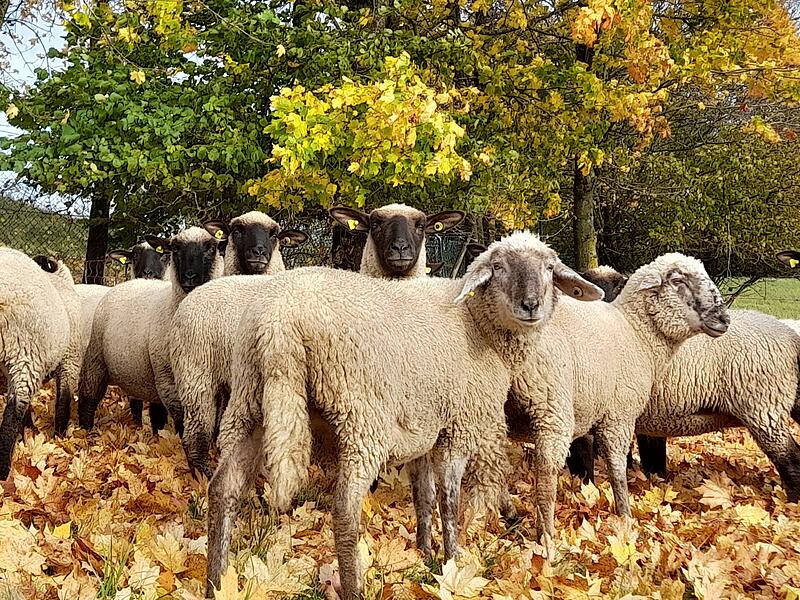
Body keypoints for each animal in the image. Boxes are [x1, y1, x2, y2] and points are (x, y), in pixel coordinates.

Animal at [0, 250, 83, 479]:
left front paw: (27, 434)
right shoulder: (70, 360)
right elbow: (63, 400)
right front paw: (60, 437)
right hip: (25, 349)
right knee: (12, 412)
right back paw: (2, 471)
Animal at [78, 227, 225, 435]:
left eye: (211, 248)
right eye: (175, 248)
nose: (190, 277)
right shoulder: (167, 378)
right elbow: (180, 419)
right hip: (96, 357)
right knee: (88, 397)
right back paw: (85, 431)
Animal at [174, 205, 461, 478]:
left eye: (421, 225)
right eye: (376, 223)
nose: (401, 249)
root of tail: (193, 297)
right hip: (197, 375)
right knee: (196, 436)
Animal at [204, 232, 605, 599]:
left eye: (549, 268)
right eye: (498, 266)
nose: (531, 305)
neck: (477, 324)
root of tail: (278, 321)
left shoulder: (426, 427)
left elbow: (423, 494)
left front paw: (426, 552)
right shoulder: (458, 425)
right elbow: (449, 498)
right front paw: (452, 559)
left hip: (249, 404)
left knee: (222, 490)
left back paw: (215, 583)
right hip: (359, 416)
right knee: (345, 509)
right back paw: (354, 588)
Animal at [505, 253, 729, 545]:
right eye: (678, 280)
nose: (724, 318)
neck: (635, 332)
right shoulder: (619, 415)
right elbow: (617, 468)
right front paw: (625, 516)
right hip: (549, 406)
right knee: (545, 475)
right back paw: (547, 539)